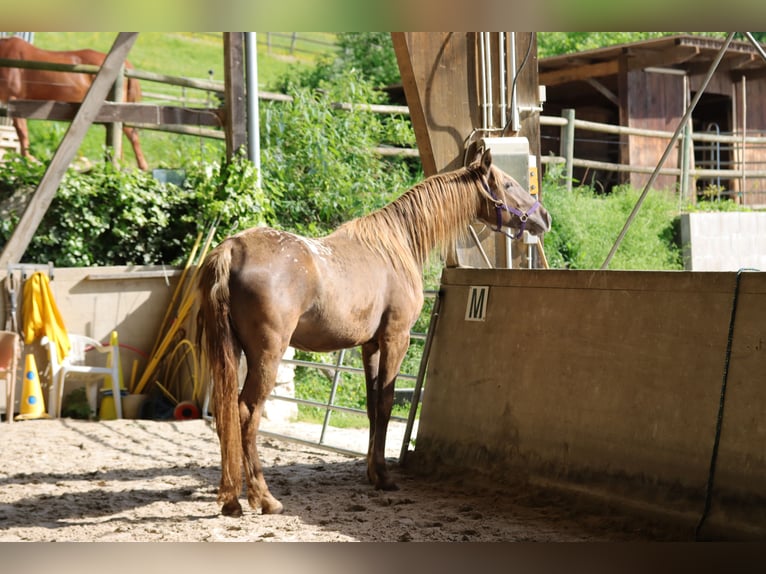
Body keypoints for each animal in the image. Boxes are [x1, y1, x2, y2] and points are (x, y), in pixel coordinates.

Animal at [0, 36, 148, 170]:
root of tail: (125, 66)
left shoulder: (15, 100)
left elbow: (22, 131)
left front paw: (28, 159)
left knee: (131, 135)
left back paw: (139, 166)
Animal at [196, 148, 551, 517]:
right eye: (508, 184)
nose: (544, 217)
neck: (396, 243)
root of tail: (232, 248)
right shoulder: (396, 339)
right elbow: (386, 402)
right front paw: (383, 476)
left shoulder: (370, 346)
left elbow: (371, 404)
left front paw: (371, 471)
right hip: (267, 355)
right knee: (246, 412)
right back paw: (263, 497)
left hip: (233, 353)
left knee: (226, 411)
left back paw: (231, 499)